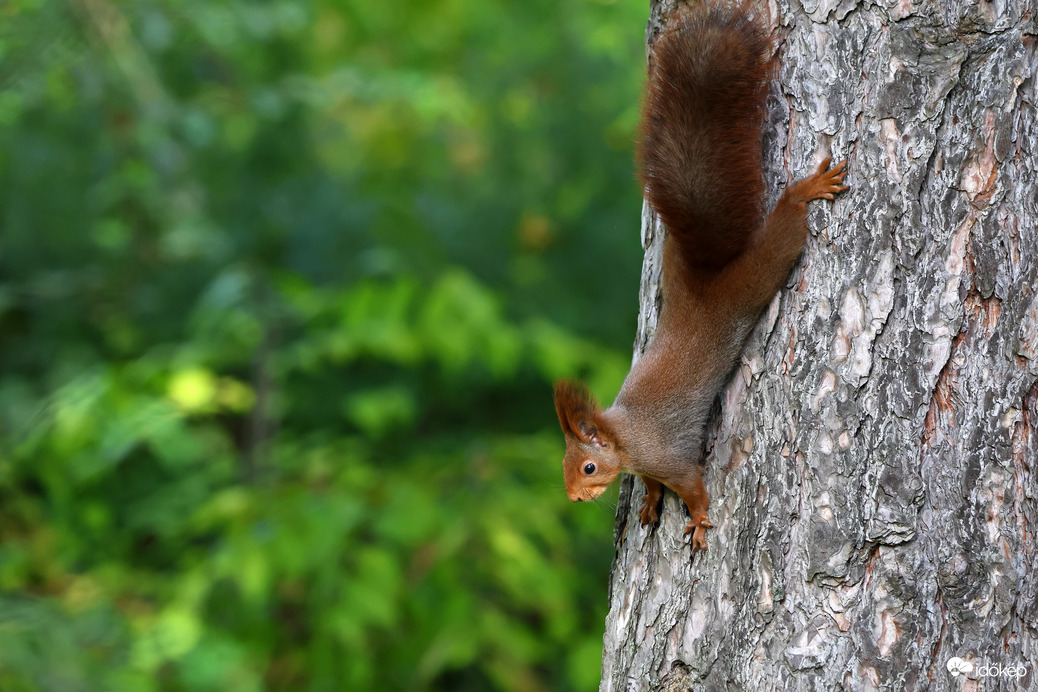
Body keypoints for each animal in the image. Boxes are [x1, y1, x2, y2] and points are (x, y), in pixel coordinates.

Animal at [552, 1, 842, 551]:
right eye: (564, 466)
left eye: (588, 466)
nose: (574, 499)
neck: (626, 437)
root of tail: (707, 269)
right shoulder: (649, 466)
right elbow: (651, 485)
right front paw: (648, 503)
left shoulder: (669, 458)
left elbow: (692, 486)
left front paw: (701, 520)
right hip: (673, 262)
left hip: (756, 275)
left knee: (784, 231)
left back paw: (803, 192)